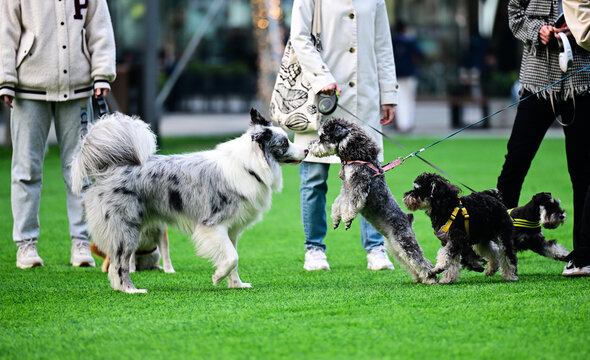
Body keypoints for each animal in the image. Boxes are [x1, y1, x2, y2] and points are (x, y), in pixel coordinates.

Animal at [71, 107, 308, 292]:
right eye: (284, 143)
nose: (306, 149)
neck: (249, 166)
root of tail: (111, 168)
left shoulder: (232, 229)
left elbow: (234, 259)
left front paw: (237, 285)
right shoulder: (212, 225)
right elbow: (232, 257)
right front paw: (218, 277)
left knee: (114, 266)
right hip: (127, 230)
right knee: (120, 264)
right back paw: (131, 290)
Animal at [310, 118, 440, 284]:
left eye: (323, 137)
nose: (309, 146)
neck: (359, 156)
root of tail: (408, 218)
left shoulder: (359, 185)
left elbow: (351, 204)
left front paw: (347, 219)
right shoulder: (346, 188)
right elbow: (338, 203)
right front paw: (336, 219)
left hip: (404, 241)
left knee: (421, 261)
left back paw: (431, 279)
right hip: (395, 247)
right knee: (410, 263)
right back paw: (419, 278)